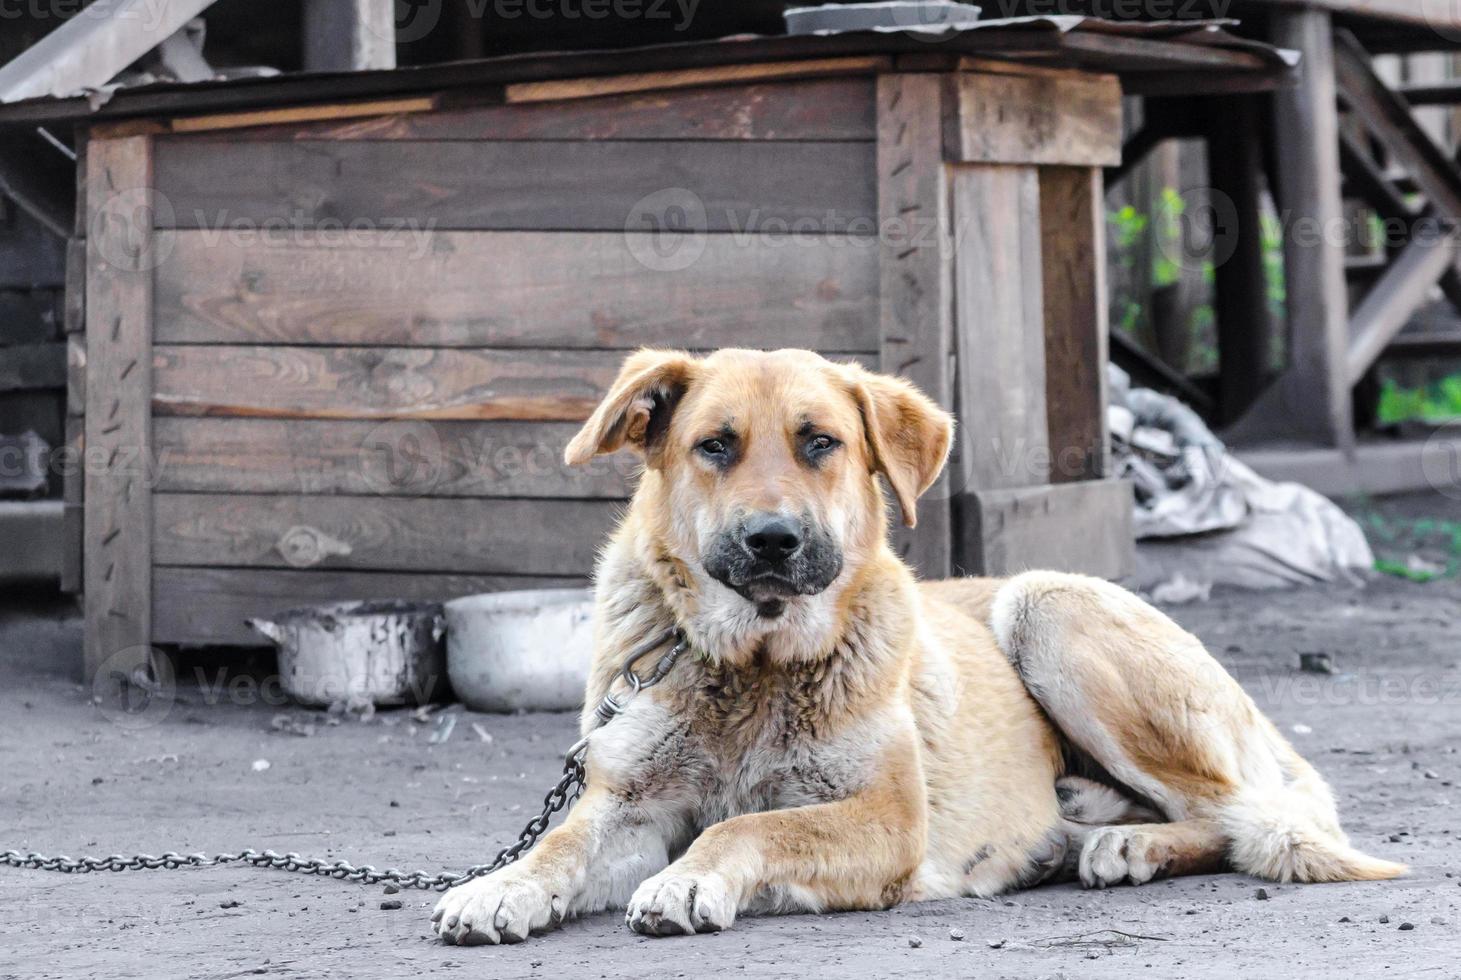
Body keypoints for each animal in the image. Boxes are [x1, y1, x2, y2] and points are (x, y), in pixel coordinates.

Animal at [426, 350, 1396, 940]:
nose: (772, 540)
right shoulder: (626, 804)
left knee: (1238, 815)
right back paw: (1085, 830)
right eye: (715, 446)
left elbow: (750, 822)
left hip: (1047, 605)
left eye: (820, 442)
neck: (754, 666)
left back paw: (1131, 845)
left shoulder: (886, 819)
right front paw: (501, 885)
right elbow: (559, 845)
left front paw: (690, 879)